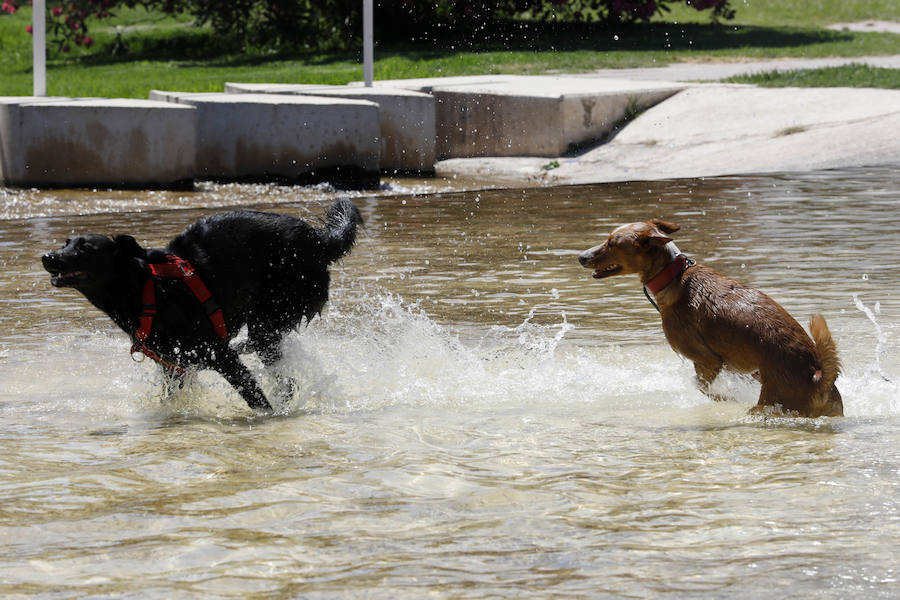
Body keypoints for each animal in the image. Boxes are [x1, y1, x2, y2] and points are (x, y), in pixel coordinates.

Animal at [40, 199, 360, 410]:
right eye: (66, 243)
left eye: (85, 248)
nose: (47, 256)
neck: (148, 290)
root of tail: (318, 240)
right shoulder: (174, 369)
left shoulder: (220, 355)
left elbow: (255, 398)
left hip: (273, 312)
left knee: (270, 357)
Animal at [576, 220, 844, 418]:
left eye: (611, 243)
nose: (580, 256)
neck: (674, 275)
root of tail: (816, 377)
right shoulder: (739, 367)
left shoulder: (707, 360)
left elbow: (703, 388)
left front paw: (725, 399)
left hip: (770, 400)